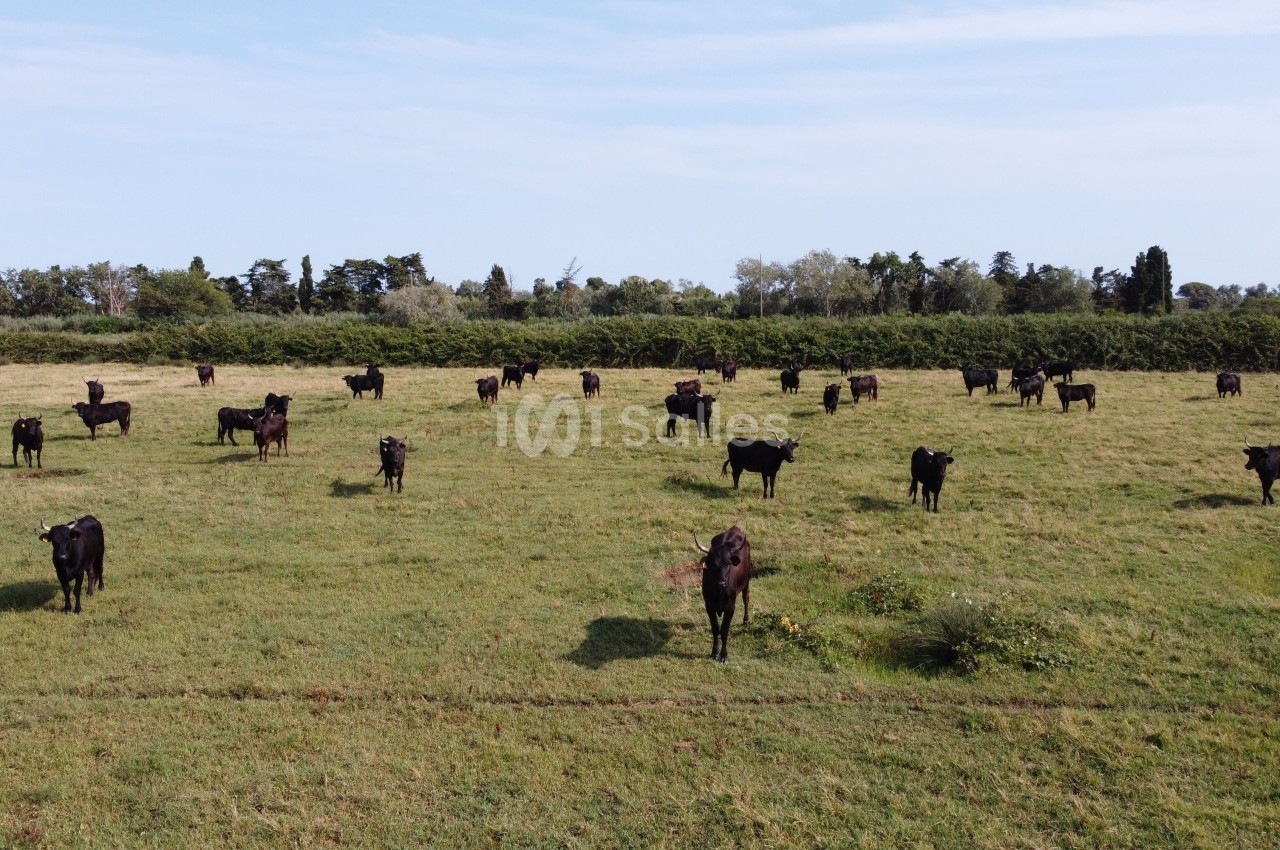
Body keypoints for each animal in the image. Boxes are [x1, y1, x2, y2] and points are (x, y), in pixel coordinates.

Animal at [693, 526, 753, 664]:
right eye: (713, 564)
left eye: (728, 563)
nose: (722, 583)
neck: (719, 592)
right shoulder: (709, 606)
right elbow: (715, 629)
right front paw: (714, 653)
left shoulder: (730, 608)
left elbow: (724, 630)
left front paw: (724, 655)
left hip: (747, 580)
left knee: (746, 597)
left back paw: (746, 620)